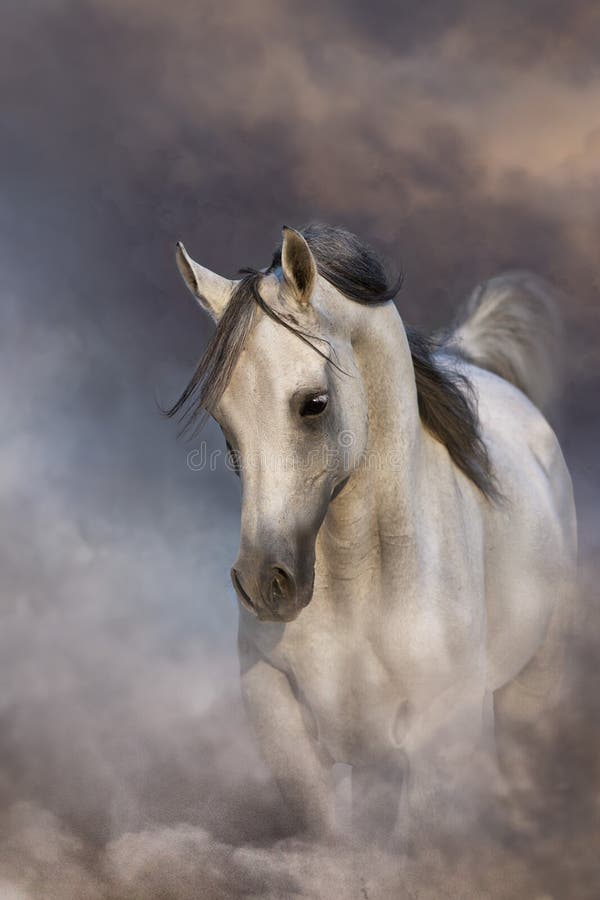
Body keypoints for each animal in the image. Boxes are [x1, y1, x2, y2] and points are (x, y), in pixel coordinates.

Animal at [168, 223, 577, 843]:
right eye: (222, 418)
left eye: (313, 404)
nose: (265, 584)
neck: (361, 592)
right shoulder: (287, 726)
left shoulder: (442, 743)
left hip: (533, 689)